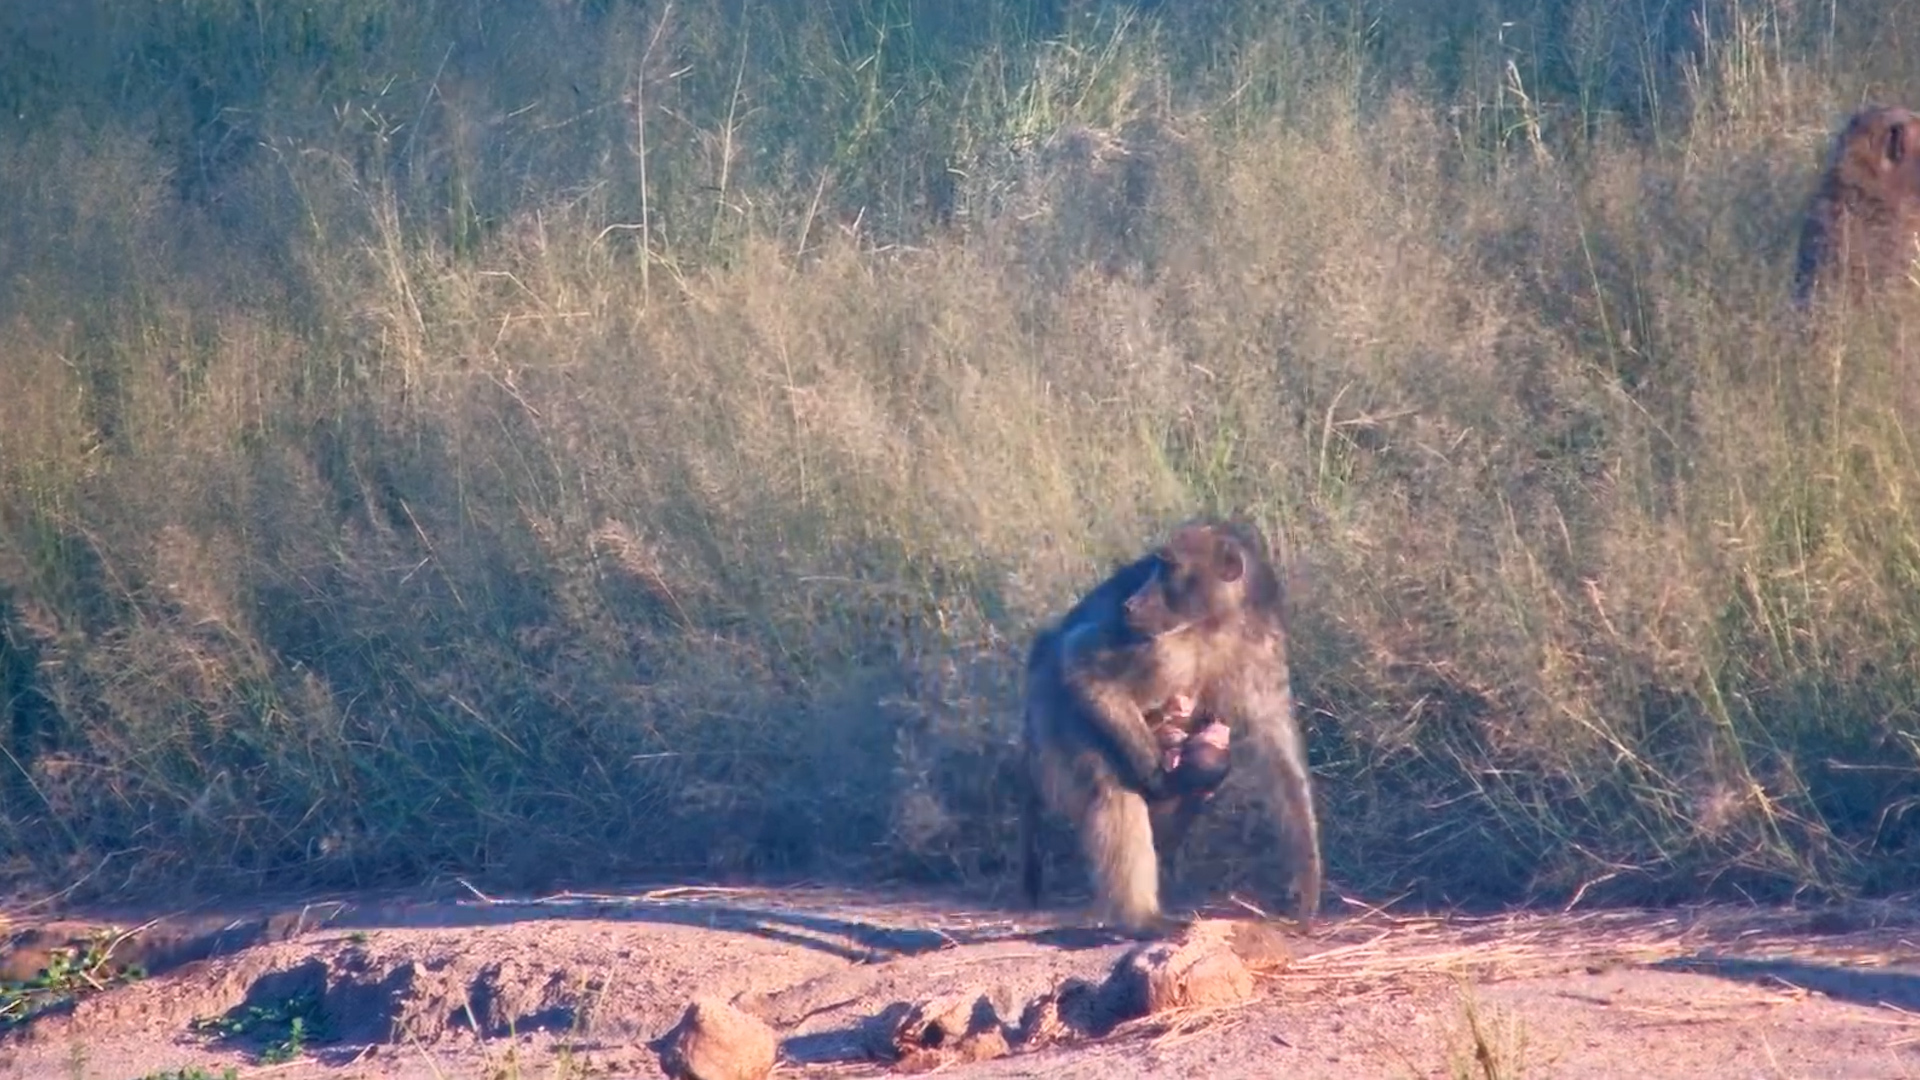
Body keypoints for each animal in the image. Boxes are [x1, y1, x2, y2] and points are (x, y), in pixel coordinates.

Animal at [1017, 518, 1322, 936]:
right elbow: (1082, 659)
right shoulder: (1159, 646)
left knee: (1201, 780)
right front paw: (1152, 773)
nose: (1130, 605)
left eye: (1170, 568)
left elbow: (1279, 755)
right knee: (1113, 790)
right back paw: (1141, 919)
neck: (1218, 625)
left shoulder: (1262, 647)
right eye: (1156, 565)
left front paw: (1307, 888)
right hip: (1056, 716)